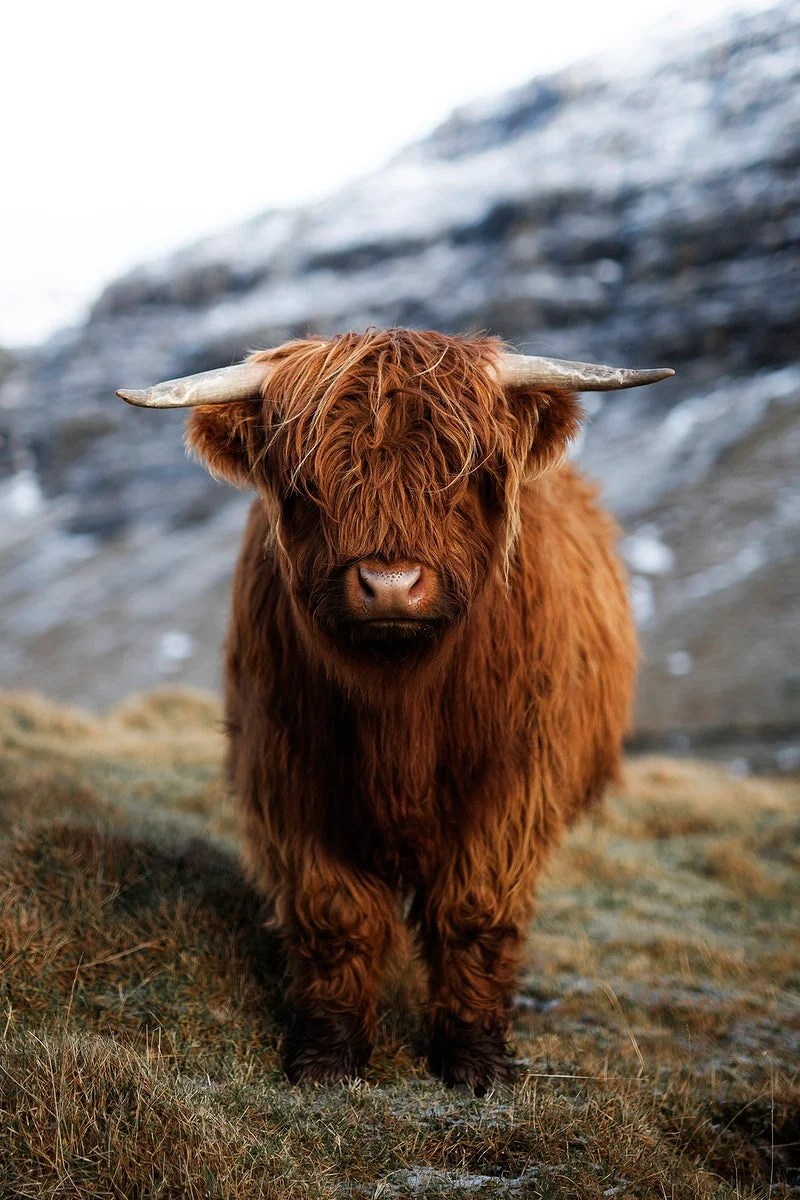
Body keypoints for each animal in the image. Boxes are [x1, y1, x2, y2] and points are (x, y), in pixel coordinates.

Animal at [118, 329, 673, 1092]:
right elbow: (335, 915)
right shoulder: (292, 780)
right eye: (307, 484)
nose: (389, 584)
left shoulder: (513, 790)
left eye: (462, 475)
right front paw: (327, 1058)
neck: (400, 706)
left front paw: (472, 1060)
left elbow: (474, 912)